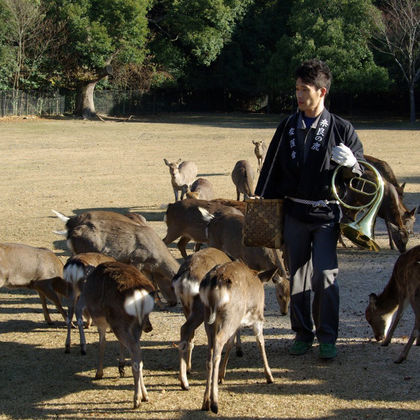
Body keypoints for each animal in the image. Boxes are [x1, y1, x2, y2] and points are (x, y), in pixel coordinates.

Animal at [83, 260, 154, 408]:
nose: (149, 328)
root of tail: (139, 293)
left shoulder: (100, 322)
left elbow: (102, 343)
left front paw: (99, 373)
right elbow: (120, 344)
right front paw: (120, 367)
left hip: (118, 321)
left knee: (135, 355)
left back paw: (137, 399)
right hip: (134, 325)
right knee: (137, 354)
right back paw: (144, 395)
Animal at [171, 246, 241, 390]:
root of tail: (186, 276)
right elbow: (227, 341)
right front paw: (221, 377)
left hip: (187, 307)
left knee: (188, 332)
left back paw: (187, 372)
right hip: (201, 309)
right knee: (185, 328)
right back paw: (184, 383)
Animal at [199, 260, 278, 416]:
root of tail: (214, 281)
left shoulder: (238, 324)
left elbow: (231, 343)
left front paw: (222, 376)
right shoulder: (258, 318)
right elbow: (260, 342)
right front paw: (269, 377)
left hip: (209, 317)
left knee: (210, 352)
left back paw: (205, 402)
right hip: (232, 314)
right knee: (218, 343)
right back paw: (215, 403)